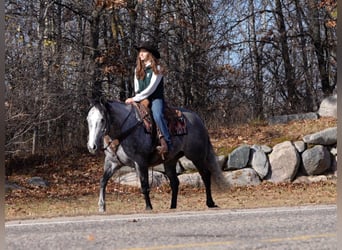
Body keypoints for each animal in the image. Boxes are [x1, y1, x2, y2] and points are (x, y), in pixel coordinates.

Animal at [87, 98, 228, 212]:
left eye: (102, 119)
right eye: (88, 119)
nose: (91, 147)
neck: (125, 130)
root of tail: (198, 119)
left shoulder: (140, 163)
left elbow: (144, 185)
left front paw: (148, 207)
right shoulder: (112, 163)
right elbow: (103, 181)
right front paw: (101, 206)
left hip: (196, 156)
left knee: (205, 175)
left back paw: (210, 202)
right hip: (171, 160)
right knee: (175, 182)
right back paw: (172, 207)